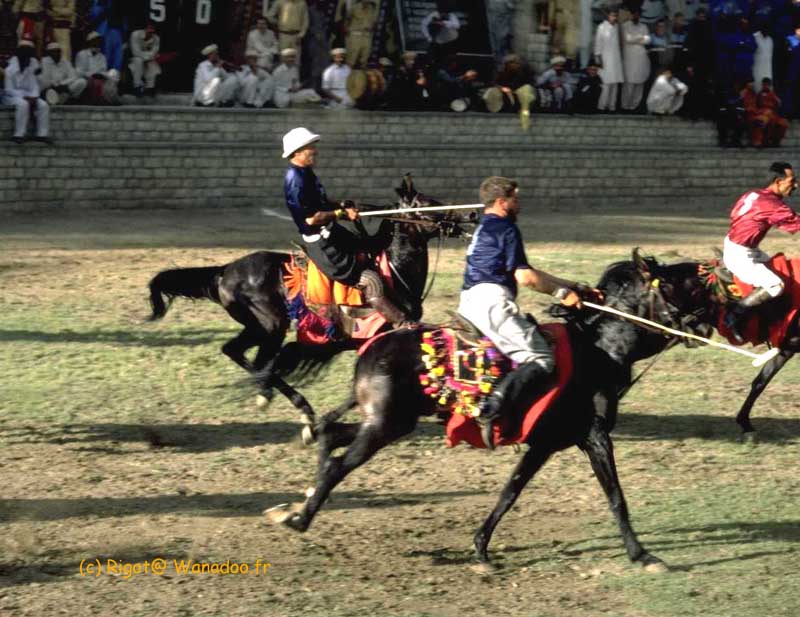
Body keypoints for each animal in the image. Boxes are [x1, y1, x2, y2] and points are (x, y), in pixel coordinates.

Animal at [266, 250, 708, 572]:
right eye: (675, 283)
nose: (704, 326)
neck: (597, 350)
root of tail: (372, 347)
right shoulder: (594, 437)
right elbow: (615, 495)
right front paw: (643, 555)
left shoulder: (546, 443)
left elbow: (510, 491)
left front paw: (480, 548)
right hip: (385, 426)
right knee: (338, 463)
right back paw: (301, 517)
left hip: (387, 422)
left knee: (329, 432)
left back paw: (300, 501)